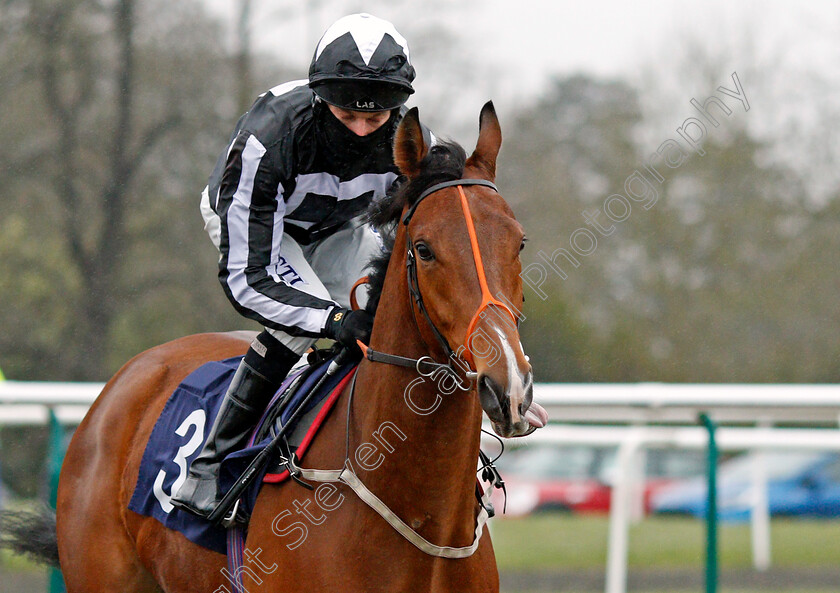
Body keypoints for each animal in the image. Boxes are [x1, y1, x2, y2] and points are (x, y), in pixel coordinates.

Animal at [18, 102, 540, 592]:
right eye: (426, 250)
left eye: (519, 242)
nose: (508, 386)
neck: (419, 514)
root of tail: (123, 382)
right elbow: (252, 279)